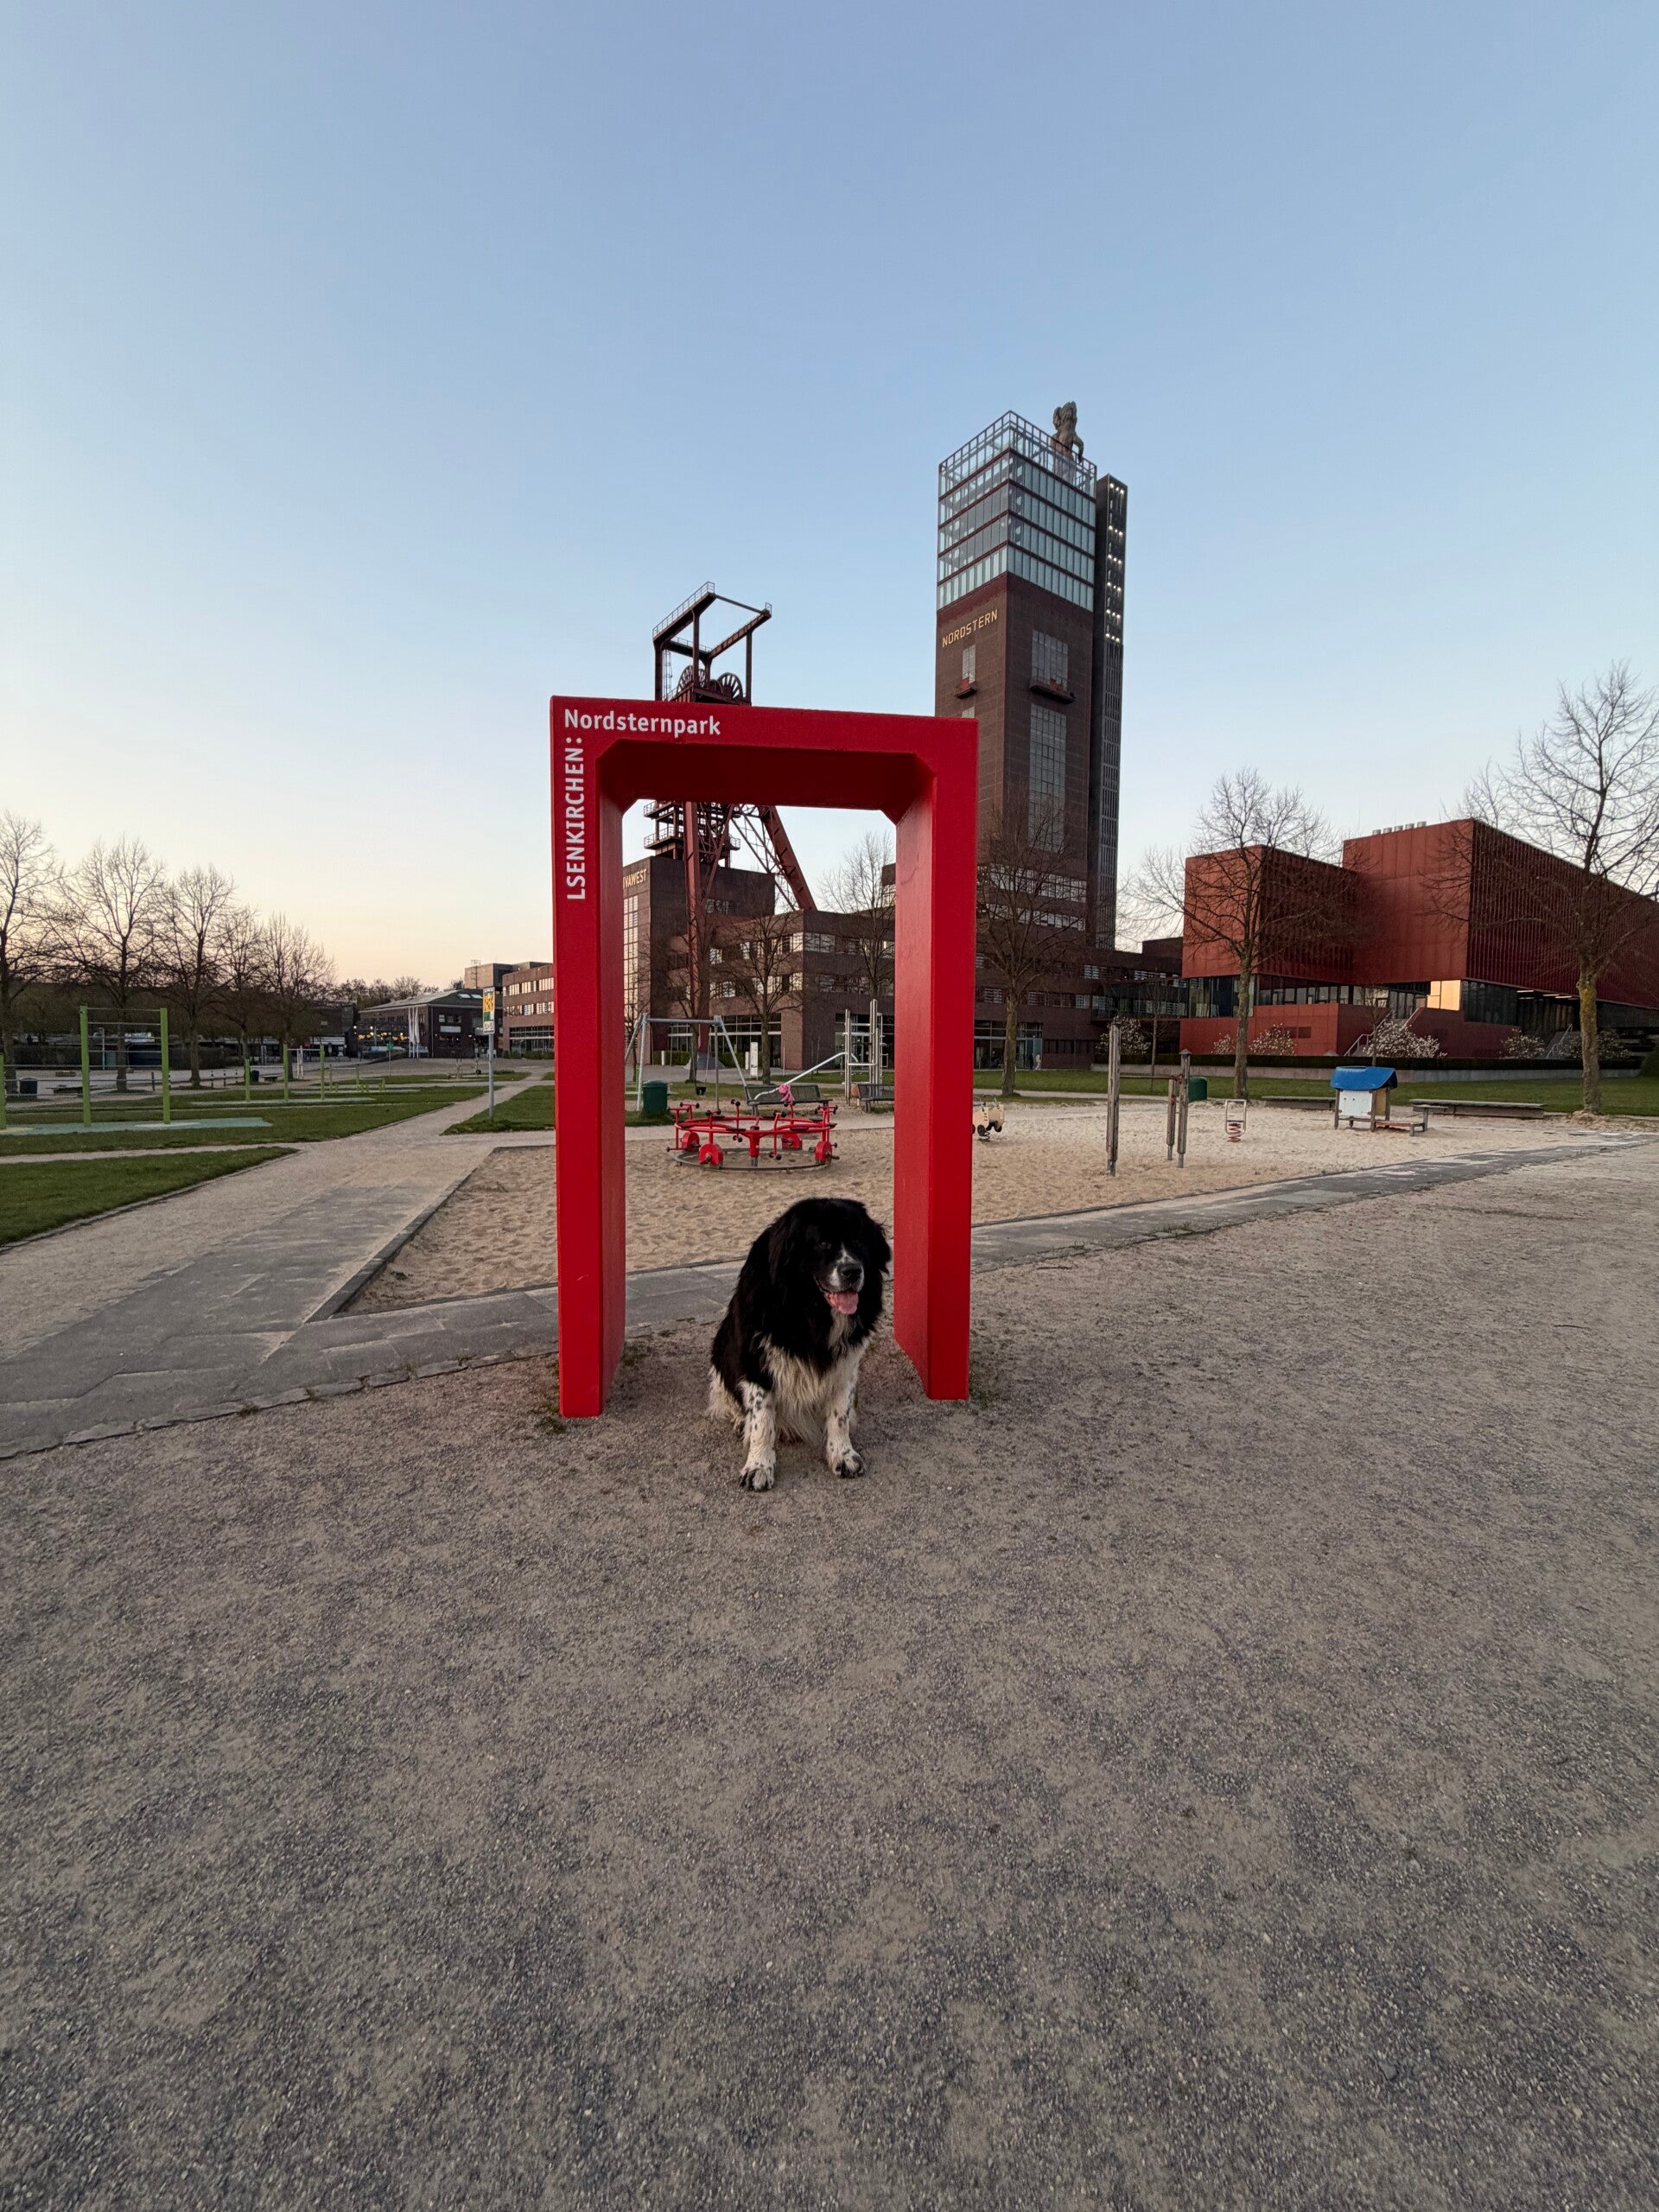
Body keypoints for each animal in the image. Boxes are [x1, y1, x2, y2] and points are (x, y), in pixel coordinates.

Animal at [709, 1196, 891, 1491]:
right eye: (823, 1244)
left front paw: (842, 1454)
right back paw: (739, 1419)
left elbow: (840, 1414)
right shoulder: (757, 1359)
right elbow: (762, 1419)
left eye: (859, 1242)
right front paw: (758, 1466)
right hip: (722, 1347)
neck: (808, 1312)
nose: (852, 1271)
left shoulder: (846, 1365)